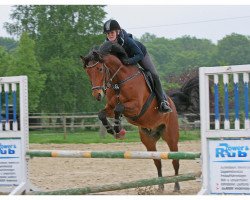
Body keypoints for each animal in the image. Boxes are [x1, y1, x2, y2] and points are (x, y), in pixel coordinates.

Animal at [80, 41, 180, 192]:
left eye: (100, 69)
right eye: (88, 72)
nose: (97, 95)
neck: (119, 80)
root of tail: (172, 104)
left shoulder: (136, 107)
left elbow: (119, 108)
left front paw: (118, 129)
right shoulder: (110, 107)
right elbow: (103, 114)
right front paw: (113, 130)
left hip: (171, 137)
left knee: (175, 160)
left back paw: (176, 186)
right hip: (148, 140)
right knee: (157, 161)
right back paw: (160, 187)